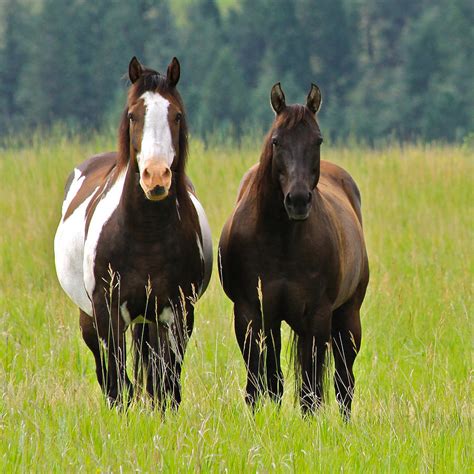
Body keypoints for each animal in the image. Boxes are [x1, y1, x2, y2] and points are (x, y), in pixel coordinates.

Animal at [54, 58, 212, 408]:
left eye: (176, 115)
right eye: (132, 115)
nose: (156, 177)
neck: (146, 234)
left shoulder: (178, 314)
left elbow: (167, 385)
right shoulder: (107, 312)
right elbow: (117, 383)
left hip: (148, 321)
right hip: (91, 318)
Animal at [218, 83, 370, 420]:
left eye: (318, 140)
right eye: (277, 140)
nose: (298, 200)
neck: (281, 240)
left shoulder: (317, 316)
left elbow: (311, 388)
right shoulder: (252, 313)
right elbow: (260, 380)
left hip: (347, 317)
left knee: (344, 381)